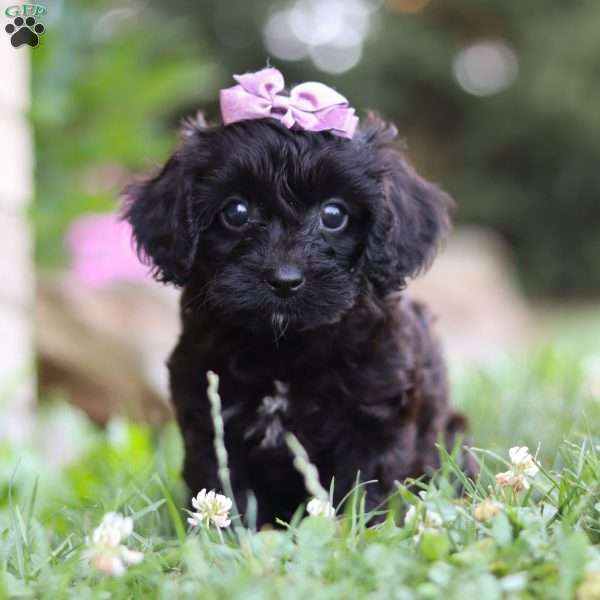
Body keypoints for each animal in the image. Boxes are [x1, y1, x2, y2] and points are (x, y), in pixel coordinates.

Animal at [124, 112, 472, 524]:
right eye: (236, 212)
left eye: (334, 215)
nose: (284, 280)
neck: (285, 348)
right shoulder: (209, 413)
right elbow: (222, 483)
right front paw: (228, 533)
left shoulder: (375, 415)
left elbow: (365, 485)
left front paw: (356, 528)